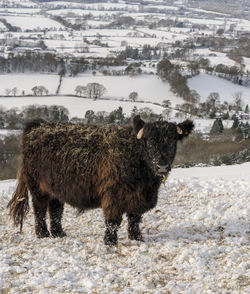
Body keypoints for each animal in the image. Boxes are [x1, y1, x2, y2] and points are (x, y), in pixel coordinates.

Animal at [7, 116, 194, 245]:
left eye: (173, 142)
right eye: (148, 142)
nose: (162, 166)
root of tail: (38, 125)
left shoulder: (137, 197)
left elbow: (134, 219)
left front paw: (136, 238)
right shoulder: (114, 196)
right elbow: (113, 221)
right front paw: (110, 241)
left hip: (56, 188)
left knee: (55, 210)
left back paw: (58, 233)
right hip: (37, 187)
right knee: (39, 210)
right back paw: (43, 234)